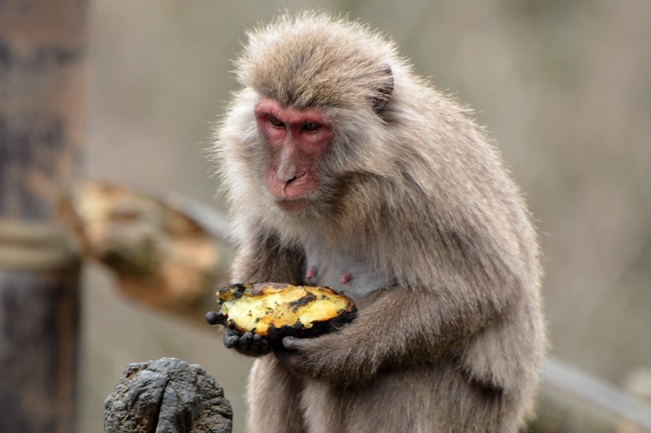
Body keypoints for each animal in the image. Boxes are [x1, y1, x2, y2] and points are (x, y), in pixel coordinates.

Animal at [211, 10, 548, 432]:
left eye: (310, 128)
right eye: (275, 122)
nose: (285, 176)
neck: (346, 188)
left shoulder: (423, 188)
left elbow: (477, 293)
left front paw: (332, 352)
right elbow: (272, 247)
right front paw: (248, 324)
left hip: (463, 414)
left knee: (392, 375)